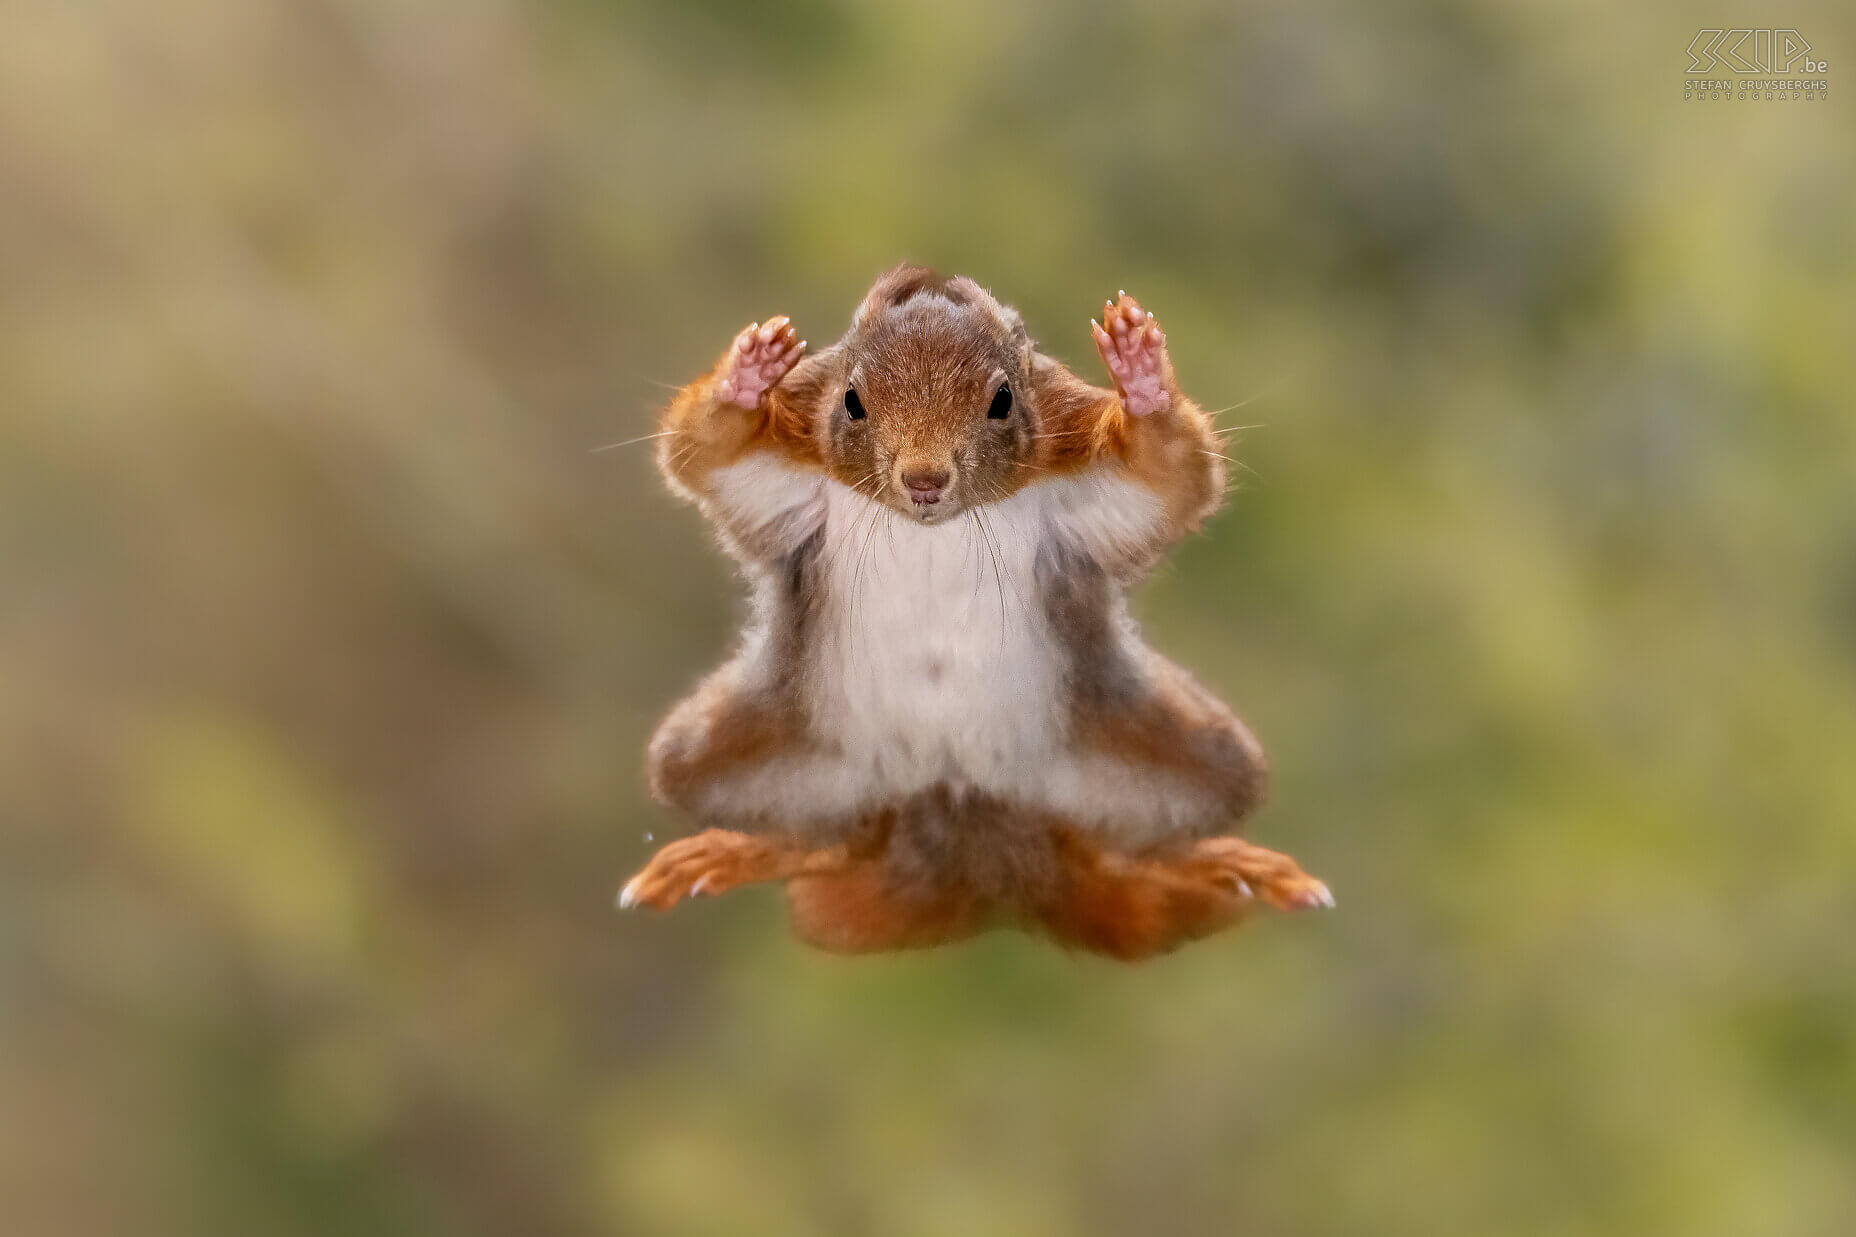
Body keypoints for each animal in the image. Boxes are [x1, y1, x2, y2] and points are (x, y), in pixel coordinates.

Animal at [623, 265, 1336, 958]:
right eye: (852, 400)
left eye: (1003, 400)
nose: (924, 480)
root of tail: (962, 819)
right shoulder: (788, 471)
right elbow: (707, 455)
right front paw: (746, 380)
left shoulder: (1079, 474)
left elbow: (1169, 477)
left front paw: (1143, 381)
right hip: (741, 752)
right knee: (836, 839)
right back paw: (745, 849)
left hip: (1175, 752)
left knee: (1118, 844)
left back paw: (1213, 862)